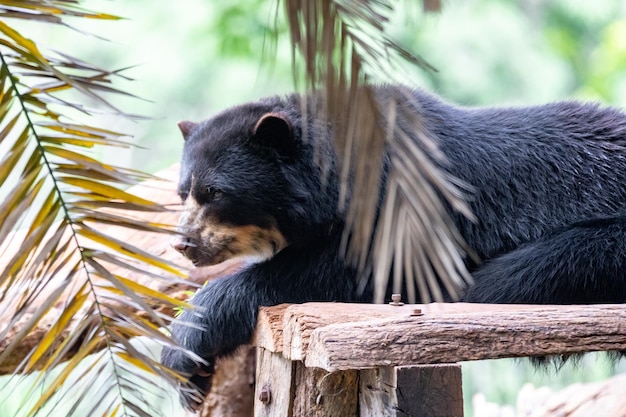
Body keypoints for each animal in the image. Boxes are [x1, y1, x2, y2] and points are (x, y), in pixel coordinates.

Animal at [160, 86, 624, 408]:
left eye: (216, 193)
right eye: (184, 192)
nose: (183, 243)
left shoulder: (402, 202)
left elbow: (337, 273)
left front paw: (185, 349)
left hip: (601, 244)